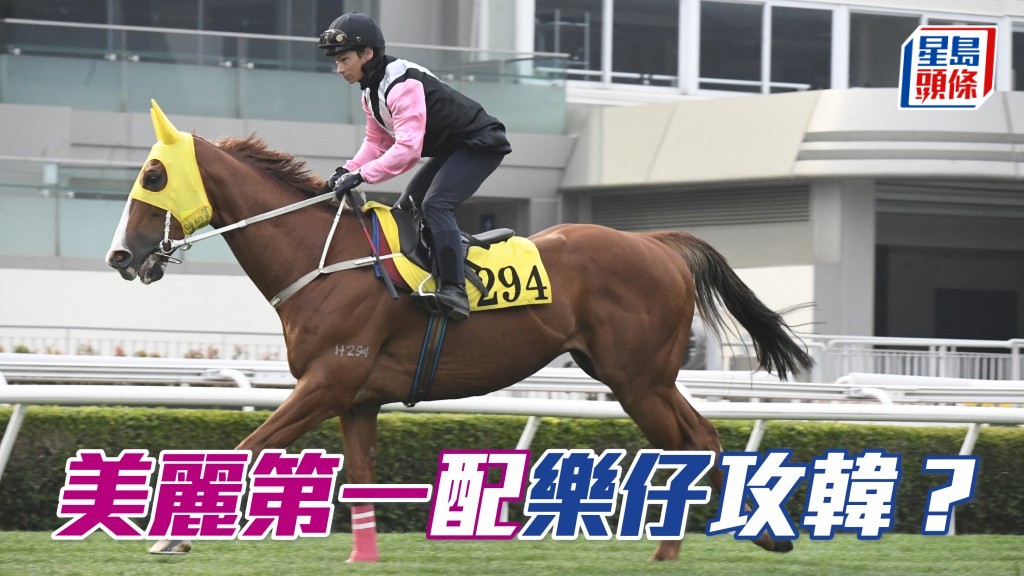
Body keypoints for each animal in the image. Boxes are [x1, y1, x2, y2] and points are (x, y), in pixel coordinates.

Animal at [106, 102, 812, 562]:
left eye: (153, 176)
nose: (120, 257)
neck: (323, 260)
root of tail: (659, 245)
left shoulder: (327, 381)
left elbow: (251, 447)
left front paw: (174, 532)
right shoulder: (357, 399)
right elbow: (359, 478)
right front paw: (363, 558)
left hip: (637, 379)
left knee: (690, 444)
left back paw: (680, 550)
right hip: (641, 378)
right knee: (702, 439)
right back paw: (756, 533)